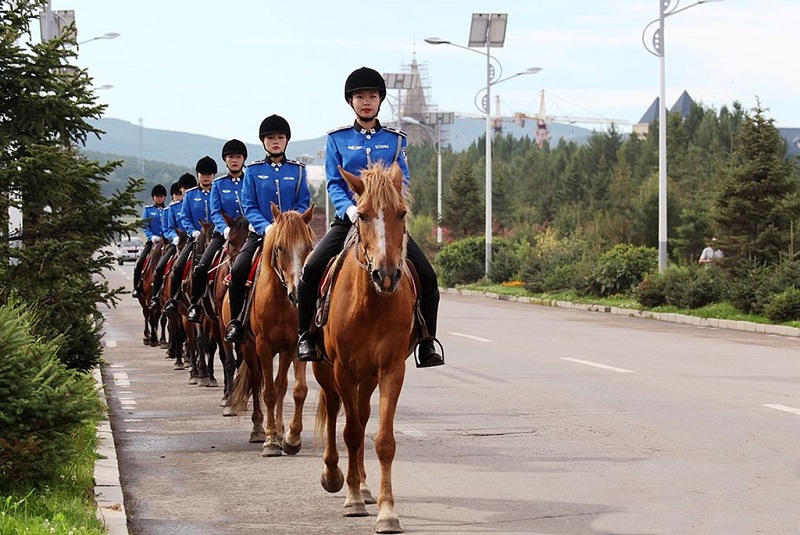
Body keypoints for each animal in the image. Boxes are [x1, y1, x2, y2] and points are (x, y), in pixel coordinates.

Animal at [228, 203, 316, 454]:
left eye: (309, 247)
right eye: (279, 248)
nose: (297, 294)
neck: (281, 300)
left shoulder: (295, 345)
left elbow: (297, 389)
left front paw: (291, 437)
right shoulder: (263, 346)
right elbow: (267, 392)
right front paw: (270, 441)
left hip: (283, 350)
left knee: (280, 384)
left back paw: (278, 428)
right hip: (248, 348)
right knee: (257, 382)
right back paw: (259, 429)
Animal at [312, 164, 416, 535]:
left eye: (401, 213)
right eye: (362, 215)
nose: (386, 275)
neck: (371, 302)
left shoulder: (391, 369)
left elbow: (382, 439)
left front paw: (386, 510)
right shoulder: (342, 368)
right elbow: (352, 432)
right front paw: (352, 498)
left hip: (368, 376)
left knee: (360, 411)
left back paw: (365, 484)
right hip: (325, 369)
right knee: (334, 409)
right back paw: (335, 476)